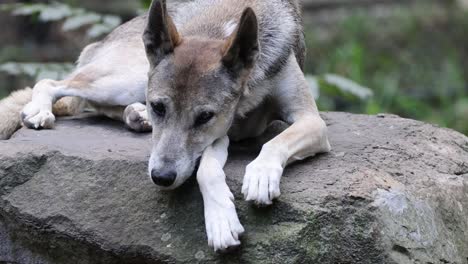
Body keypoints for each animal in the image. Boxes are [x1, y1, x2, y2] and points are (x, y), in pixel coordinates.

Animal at [0, 0, 330, 252]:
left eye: (204, 117)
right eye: (160, 107)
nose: (161, 177)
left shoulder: (309, 120)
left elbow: (271, 143)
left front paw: (259, 177)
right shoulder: (226, 132)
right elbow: (206, 170)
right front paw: (222, 221)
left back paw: (136, 116)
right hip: (125, 79)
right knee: (52, 83)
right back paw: (40, 110)